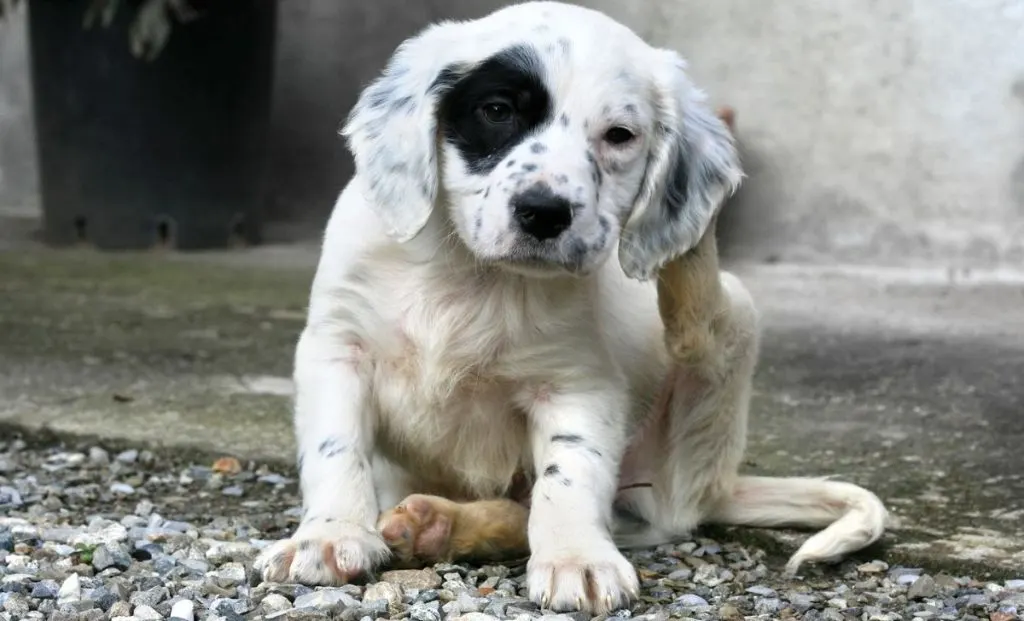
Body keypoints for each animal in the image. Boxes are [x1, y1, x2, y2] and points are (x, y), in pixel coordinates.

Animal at [253, 2, 888, 614]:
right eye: (497, 110)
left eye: (619, 135)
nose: (545, 212)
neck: (474, 276)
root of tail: (719, 484)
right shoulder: (338, 349)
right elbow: (337, 451)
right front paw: (331, 535)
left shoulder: (576, 384)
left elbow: (569, 477)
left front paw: (576, 560)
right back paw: (437, 525)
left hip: (714, 369)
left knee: (692, 351)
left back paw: (688, 260)